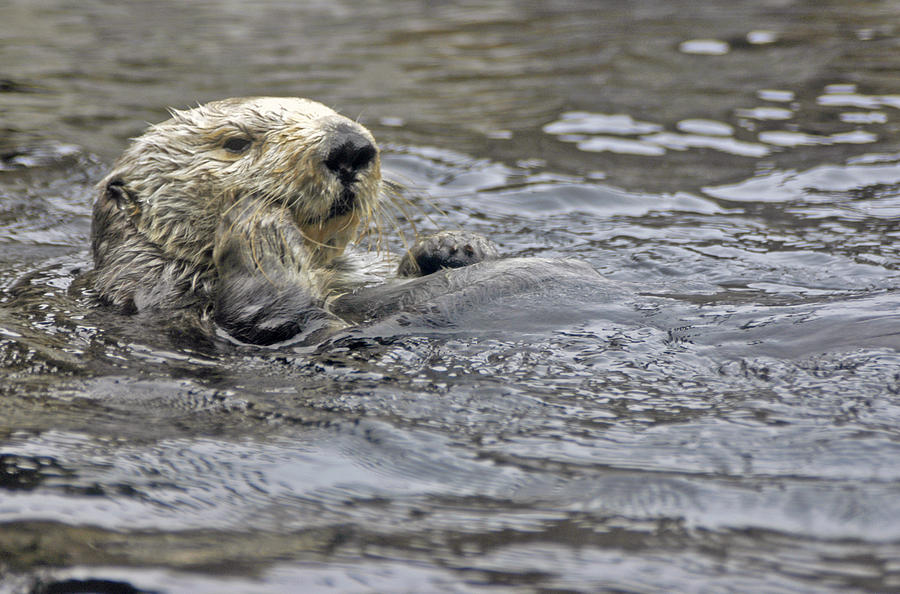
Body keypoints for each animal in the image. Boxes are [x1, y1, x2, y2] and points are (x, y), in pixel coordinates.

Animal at [88, 95, 600, 344]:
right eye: (235, 142)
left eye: (334, 114)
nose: (349, 146)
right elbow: (283, 318)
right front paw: (262, 231)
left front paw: (455, 246)